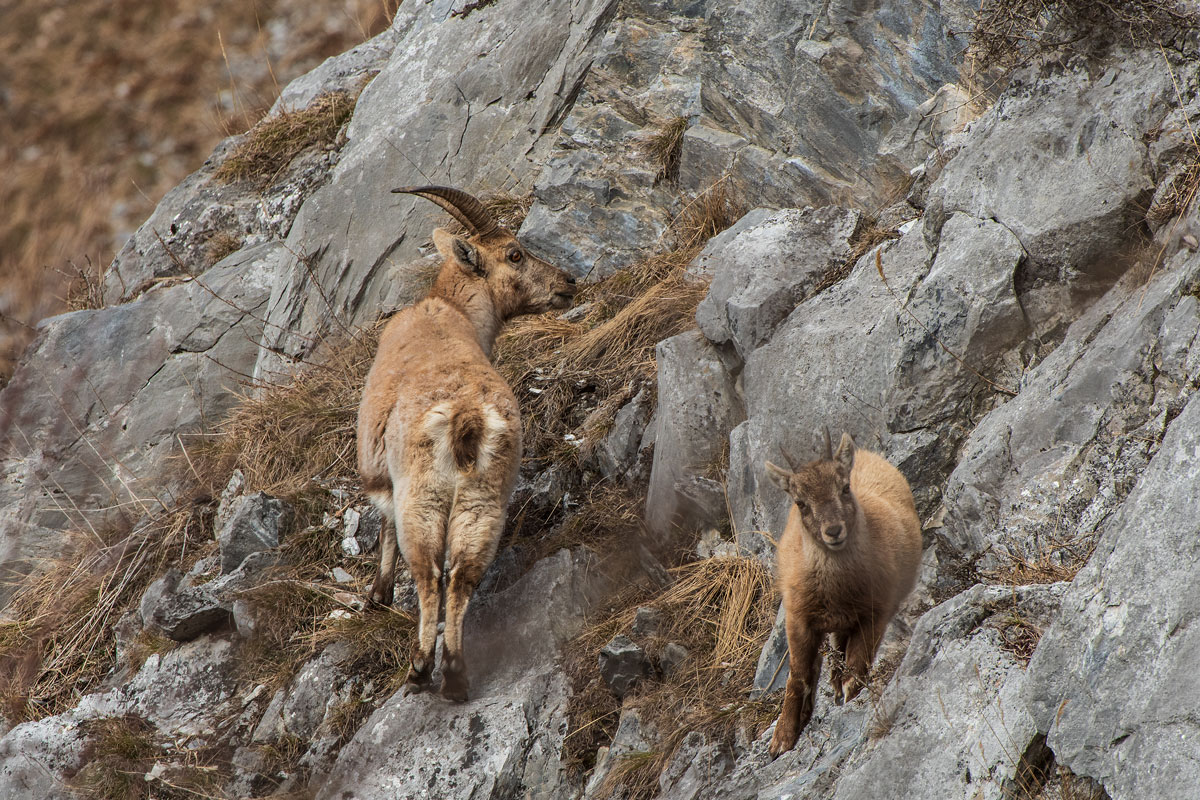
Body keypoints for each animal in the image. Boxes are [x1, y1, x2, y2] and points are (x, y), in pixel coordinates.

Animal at [357, 185, 576, 702]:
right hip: (485, 495)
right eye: (515, 254)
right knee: (463, 573)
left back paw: (421, 667)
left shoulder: (381, 472)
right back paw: (455, 674)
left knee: (429, 573)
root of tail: (468, 417)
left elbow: (384, 525)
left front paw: (377, 595)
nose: (569, 282)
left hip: (425, 495)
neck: (451, 311)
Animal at [763, 431, 921, 757]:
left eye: (845, 488)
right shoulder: (798, 619)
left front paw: (846, 691)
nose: (833, 531)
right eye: (800, 502)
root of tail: (865, 454)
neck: (835, 589)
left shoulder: (876, 612)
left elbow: (858, 662)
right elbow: (797, 675)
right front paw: (782, 737)